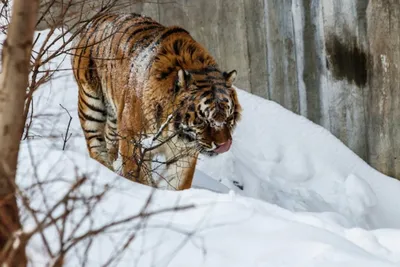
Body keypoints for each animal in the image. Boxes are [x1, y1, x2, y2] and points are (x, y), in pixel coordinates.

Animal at [70, 13, 242, 191]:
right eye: (202, 120)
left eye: (229, 118)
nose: (224, 145)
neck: (175, 133)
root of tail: (96, 20)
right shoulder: (133, 140)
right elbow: (138, 177)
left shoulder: (184, 153)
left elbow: (179, 184)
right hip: (91, 103)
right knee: (95, 144)